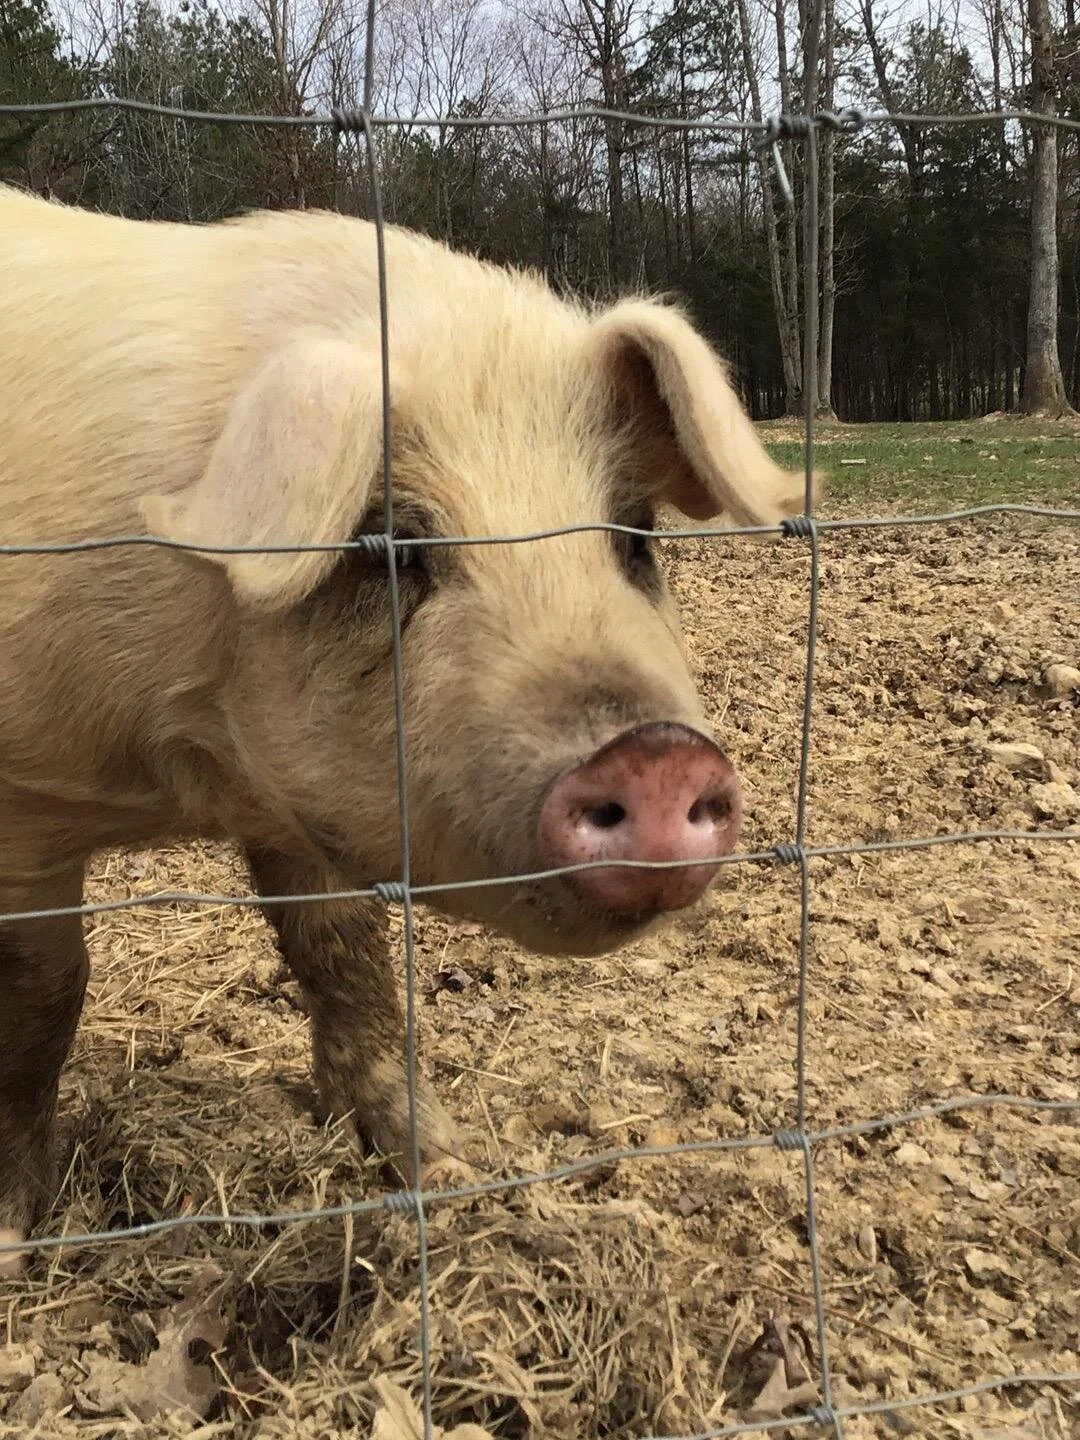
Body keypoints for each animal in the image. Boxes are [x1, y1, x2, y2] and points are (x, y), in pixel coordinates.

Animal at [0, 182, 811, 1261]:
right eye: (386, 546)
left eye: (635, 535)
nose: (656, 756)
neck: (186, 771)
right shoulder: (25, 797)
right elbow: (43, 993)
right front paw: (14, 1238)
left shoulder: (295, 807)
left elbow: (344, 955)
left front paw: (443, 1168)